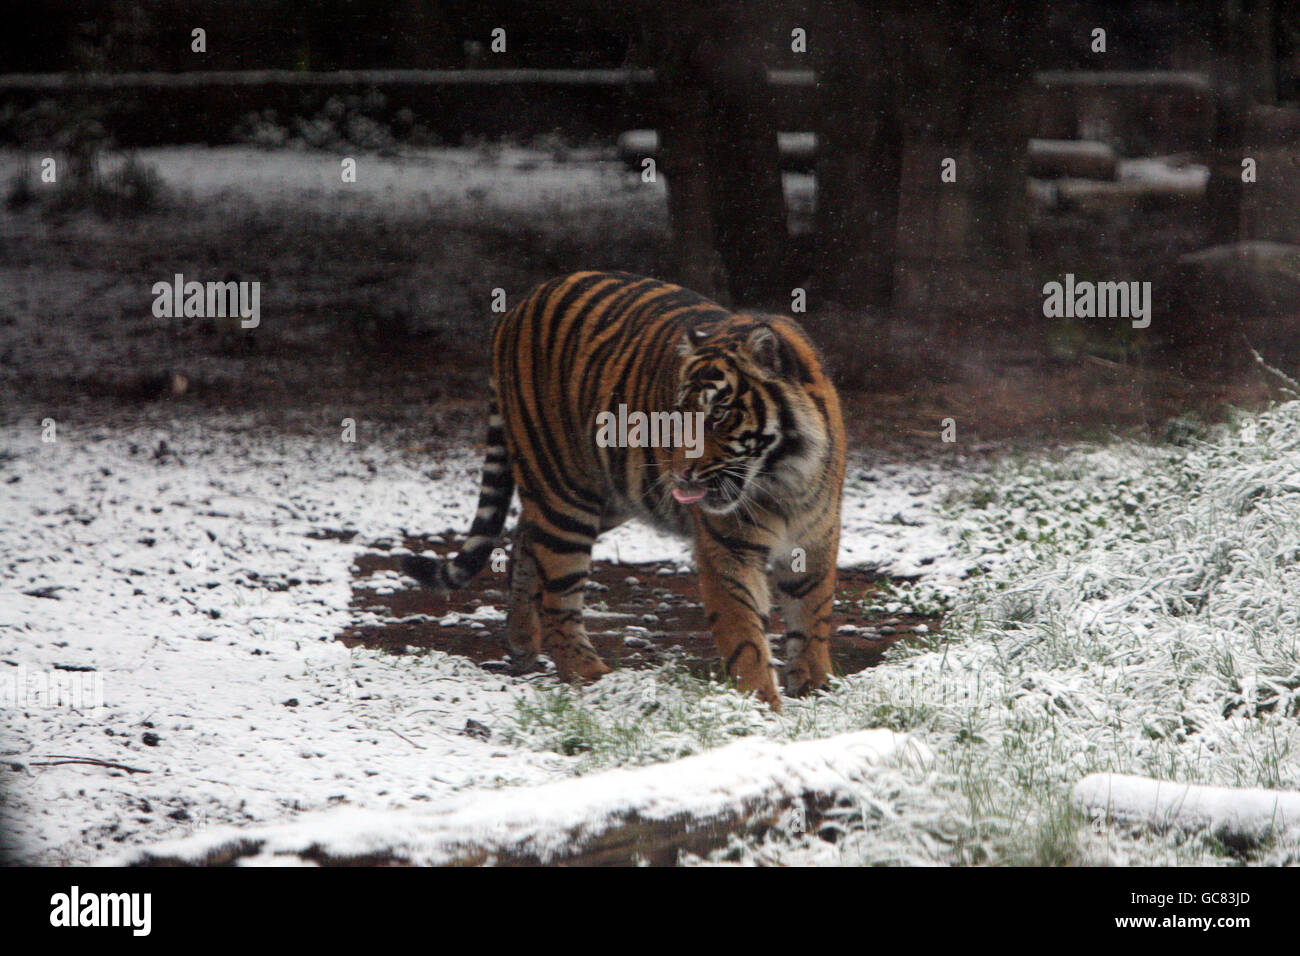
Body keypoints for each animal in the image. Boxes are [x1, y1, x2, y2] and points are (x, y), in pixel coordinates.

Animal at [408, 270, 852, 712]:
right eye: (679, 414)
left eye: (718, 415)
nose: (679, 474)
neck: (781, 477)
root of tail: (517, 307)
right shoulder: (728, 548)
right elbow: (744, 632)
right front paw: (760, 704)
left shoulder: (816, 537)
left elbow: (812, 616)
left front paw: (815, 686)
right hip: (564, 491)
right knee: (558, 593)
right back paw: (591, 675)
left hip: (609, 497)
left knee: (524, 537)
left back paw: (521, 642)